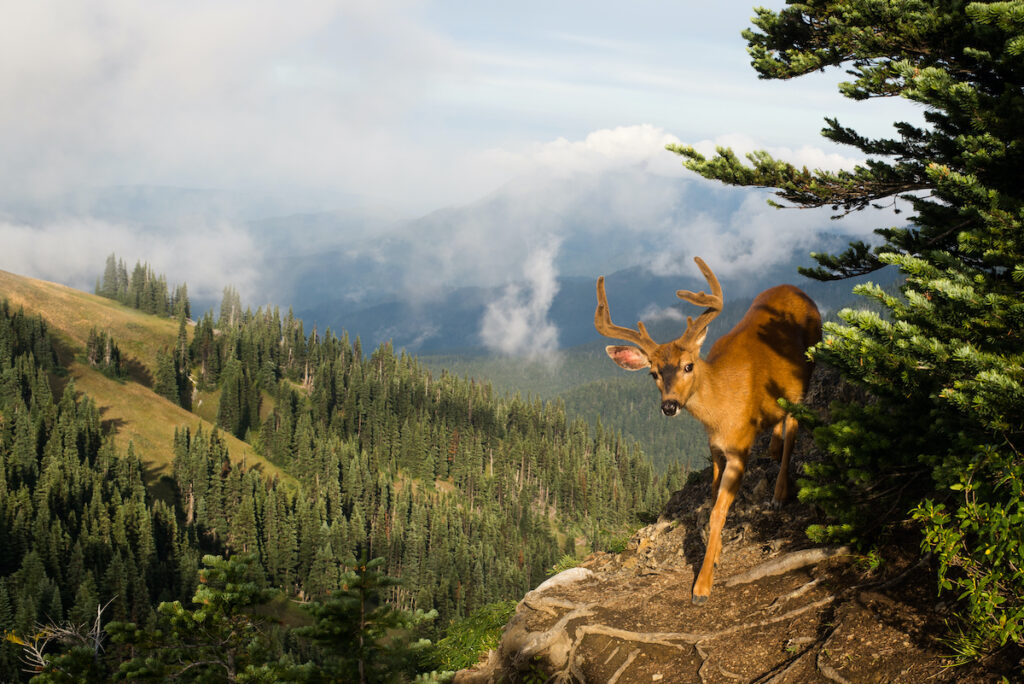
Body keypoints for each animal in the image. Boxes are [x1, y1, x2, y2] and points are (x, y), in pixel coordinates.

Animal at [598, 255, 819, 602]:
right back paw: (772, 445)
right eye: (653, 373)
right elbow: (712, 498)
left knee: (793, 430)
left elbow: (717, 511)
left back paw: (780, 492)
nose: (669, 406)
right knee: (782, 424)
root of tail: (797, 289)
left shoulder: (739, 448)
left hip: (807, 370)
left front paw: (702, 585)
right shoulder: (714, 447)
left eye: (688, 366)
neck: (719, 408)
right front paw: (714, 557)